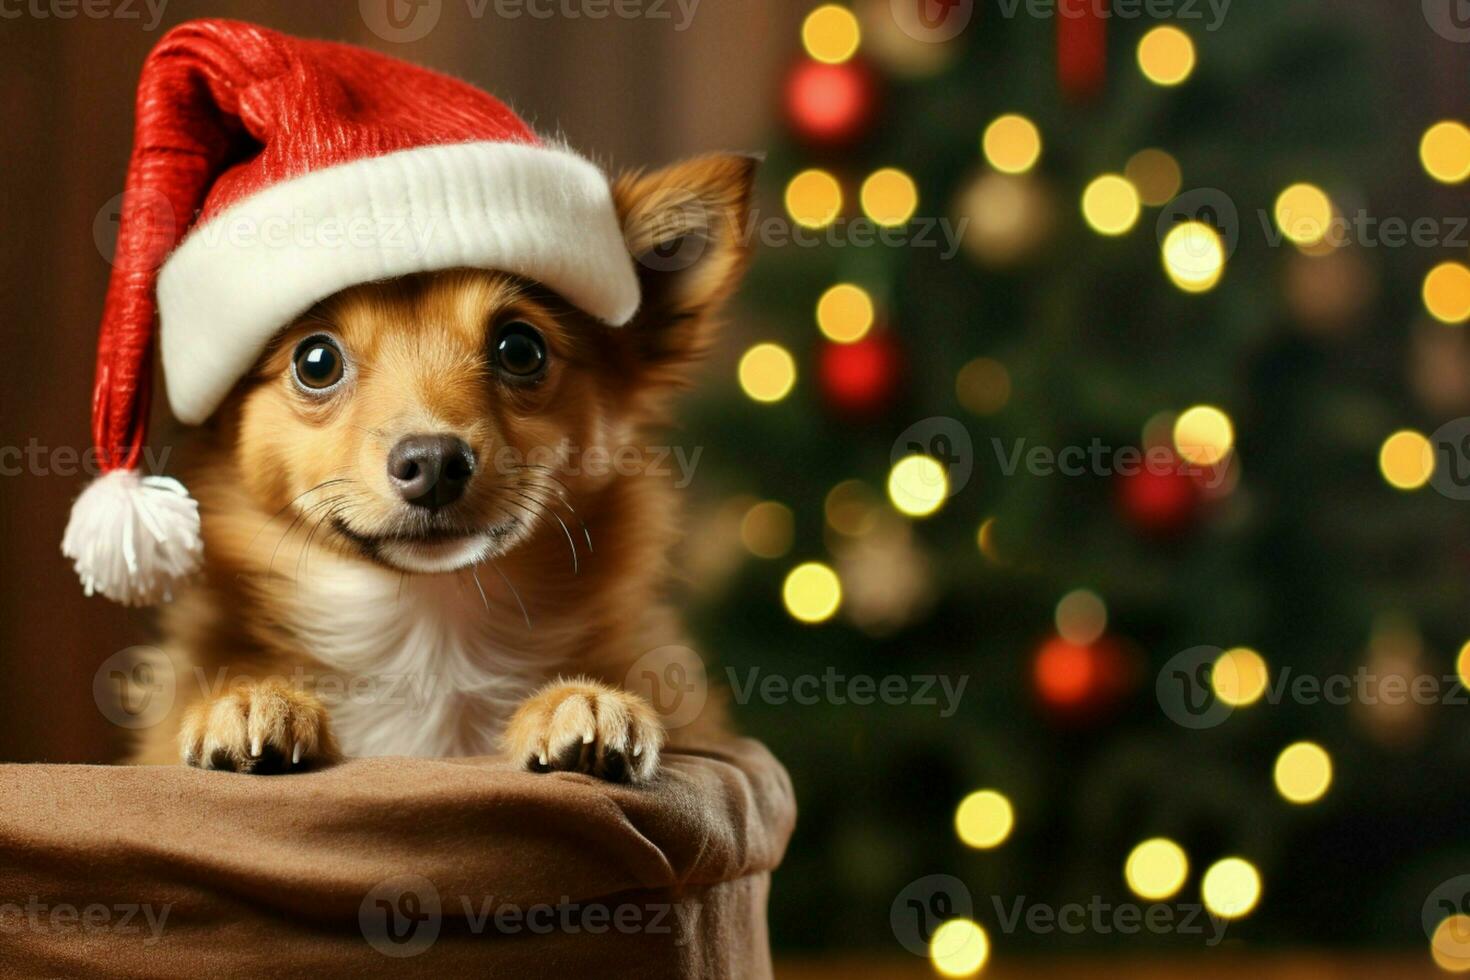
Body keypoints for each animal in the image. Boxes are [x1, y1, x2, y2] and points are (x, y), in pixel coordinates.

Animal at [126, 153, 758, 787]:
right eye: (316, 361)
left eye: (521, 349)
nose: (433, 462)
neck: (431, 639)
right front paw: (253, 701)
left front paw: (582, 702)